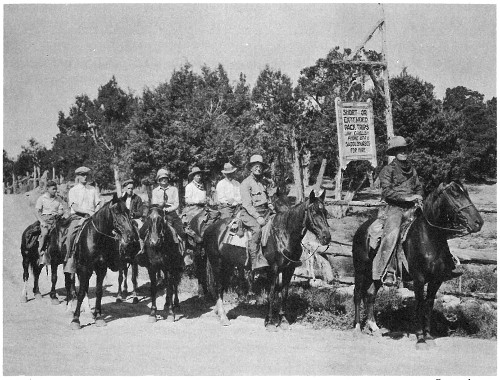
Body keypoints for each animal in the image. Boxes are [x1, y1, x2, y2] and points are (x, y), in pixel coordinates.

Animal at [68, 193, 139, 330]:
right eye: (116, 212)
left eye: (128, 212)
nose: (131, 236)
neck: (96, 238)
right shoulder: (84, 268)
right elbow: (81, 292)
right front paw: (75, 319)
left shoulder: (101, 268)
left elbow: (99, 291)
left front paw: (99, 317)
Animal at [203, 190, 332, 330]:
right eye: (314, 212)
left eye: (325, 212)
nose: (326, 237)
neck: (283, 235)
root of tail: (210, 228)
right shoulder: (273, 269)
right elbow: (272, 293)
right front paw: (270, 322)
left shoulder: (289, 269)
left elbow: (284, 293)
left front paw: (283, 321)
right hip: (217, 263)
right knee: (218, 286)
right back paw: (223, 317)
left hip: (228, 265)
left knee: (222, 287)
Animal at [352, 180, 484, 348]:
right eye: (455, 194)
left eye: (466, 192)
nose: (478, 222)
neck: (428, 238)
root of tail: (361, 229)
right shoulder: (419, 279)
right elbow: (419, 305)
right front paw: (420, 338)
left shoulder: (436, 280)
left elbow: (428, 305)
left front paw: (428, 336)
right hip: (360, 270)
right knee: (357, 294)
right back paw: (357, 328)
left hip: (377, 273)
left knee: (370, 295)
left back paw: (374, 328)